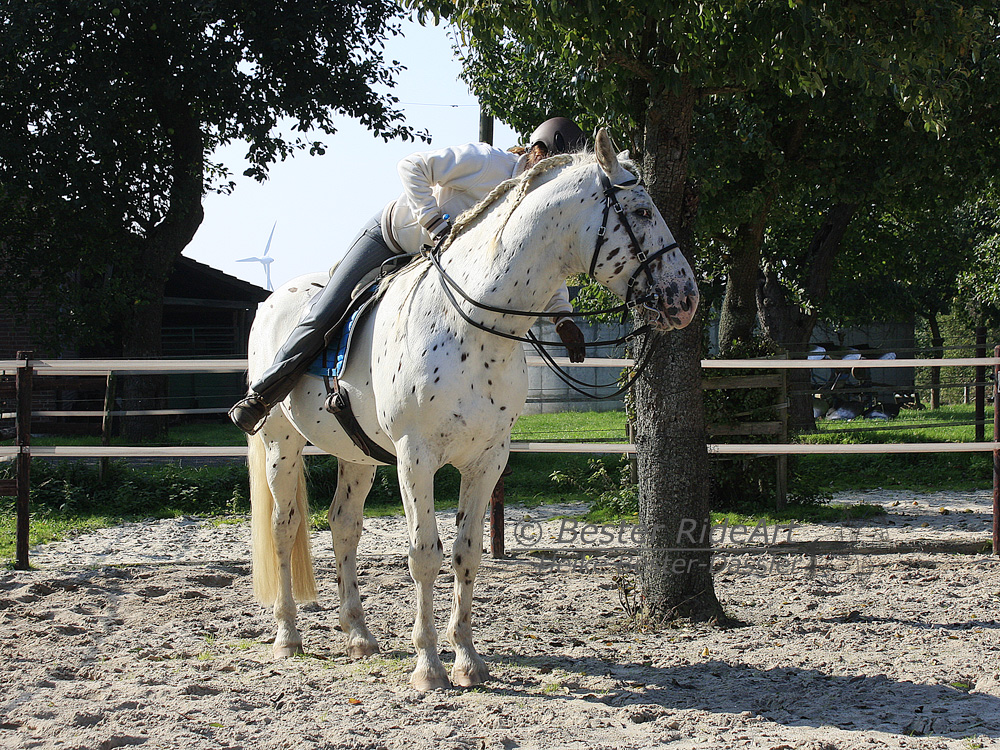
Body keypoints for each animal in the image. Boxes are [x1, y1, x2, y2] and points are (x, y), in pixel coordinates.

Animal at [244, 129, 696, 692]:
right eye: (638, 210)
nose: (687, 299)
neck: (470, 322)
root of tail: (271, 301)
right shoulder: (415, 458)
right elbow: (424, 554)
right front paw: (428, 665)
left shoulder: (487, 459)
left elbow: (467, 552)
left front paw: (466, 659)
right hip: (279, 444)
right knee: (284, 528)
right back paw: (287, 635)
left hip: (357, 456)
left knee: (343, 525)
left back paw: (359, 636)